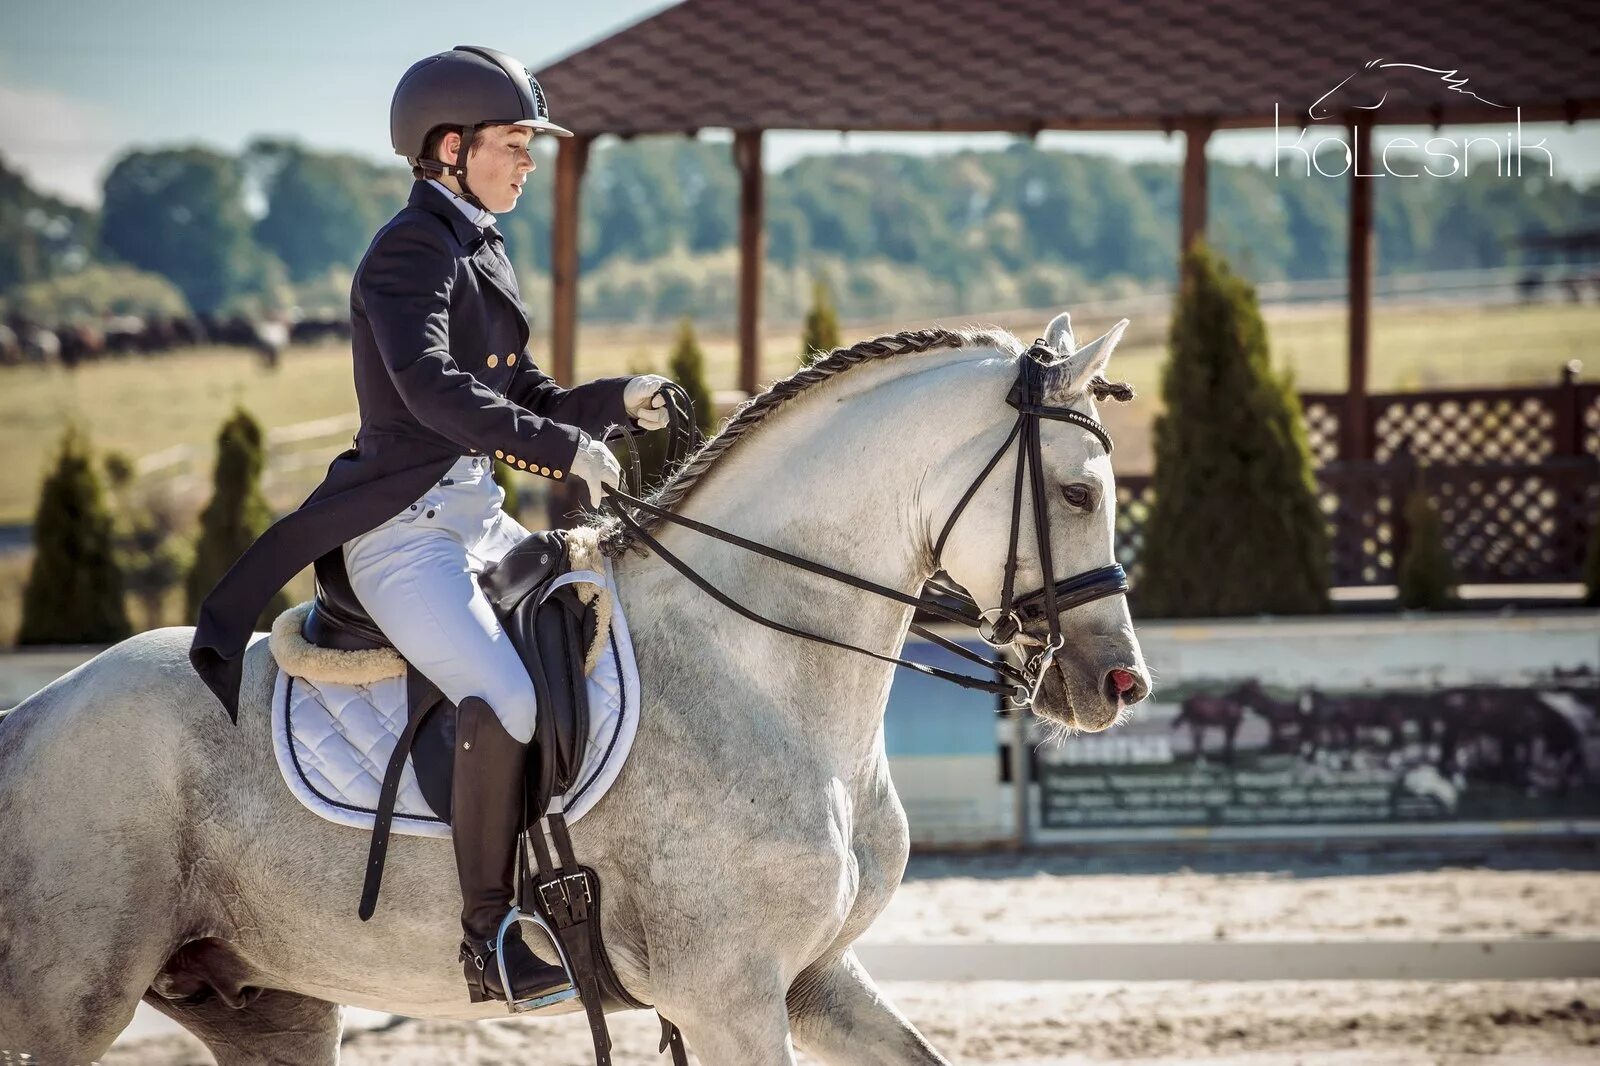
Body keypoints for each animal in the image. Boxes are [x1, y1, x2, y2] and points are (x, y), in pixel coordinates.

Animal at [3, 313, 1152, 1062]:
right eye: (1074, 492)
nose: (1117, 682)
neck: (759, 667)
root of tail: (33, 715)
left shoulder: (813, 979)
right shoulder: (730, 995)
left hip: (264, 1003)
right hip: (64, 1001)